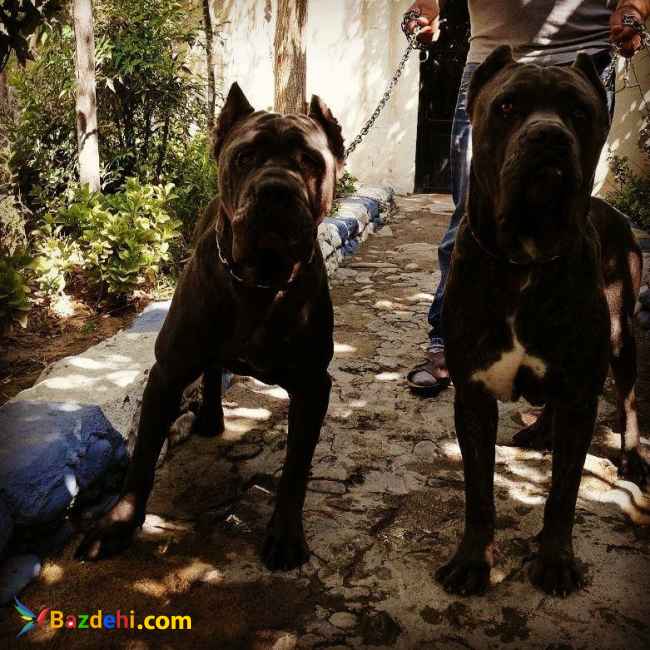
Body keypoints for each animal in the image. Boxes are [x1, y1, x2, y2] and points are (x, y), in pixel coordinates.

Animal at [76, 83, 345, 571]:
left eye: (311, 161)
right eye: (245, 157)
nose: (276, 190)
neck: (261, 282)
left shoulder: (313, 385)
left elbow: (296, 468)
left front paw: (285, 534)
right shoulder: (167, 372)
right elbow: (142, 459)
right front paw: (118, 525)